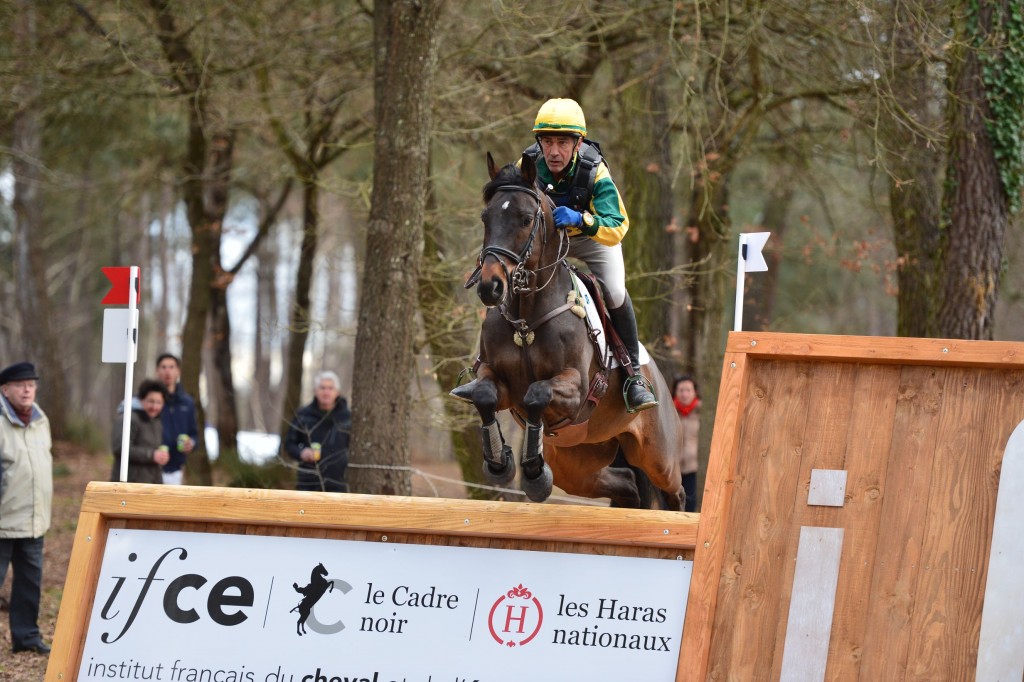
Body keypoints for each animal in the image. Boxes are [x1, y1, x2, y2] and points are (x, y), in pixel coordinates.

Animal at [460, 151, 684, 507]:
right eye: (486, 217)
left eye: (526, 218)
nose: (490, 287)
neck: (526, 321)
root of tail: (660, 383)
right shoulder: (498, 380)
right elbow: (484, 394)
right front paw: (501, 465)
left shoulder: (575, 388)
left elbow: (537, 393)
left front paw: (533, 471)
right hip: (578, 460)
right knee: (627, 484)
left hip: (658, 458)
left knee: (675, 493)